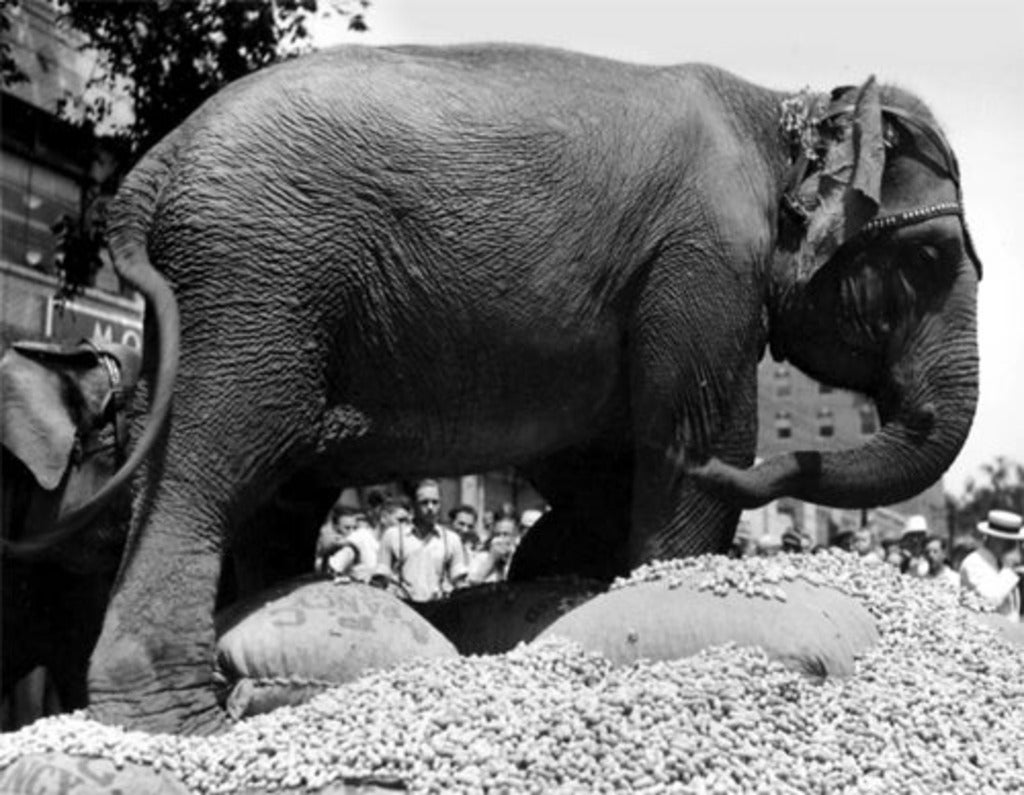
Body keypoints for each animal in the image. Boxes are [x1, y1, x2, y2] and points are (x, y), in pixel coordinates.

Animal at [56, 44, 978, 734]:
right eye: (929, 259)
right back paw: (178, 723)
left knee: (262, 495)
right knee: (212, 468)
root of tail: (152, 167)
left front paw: (556, 572)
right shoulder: (705, 262)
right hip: (257, 286)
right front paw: (672, 530)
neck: (776, 104)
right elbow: (691, 445)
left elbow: (600, 466)